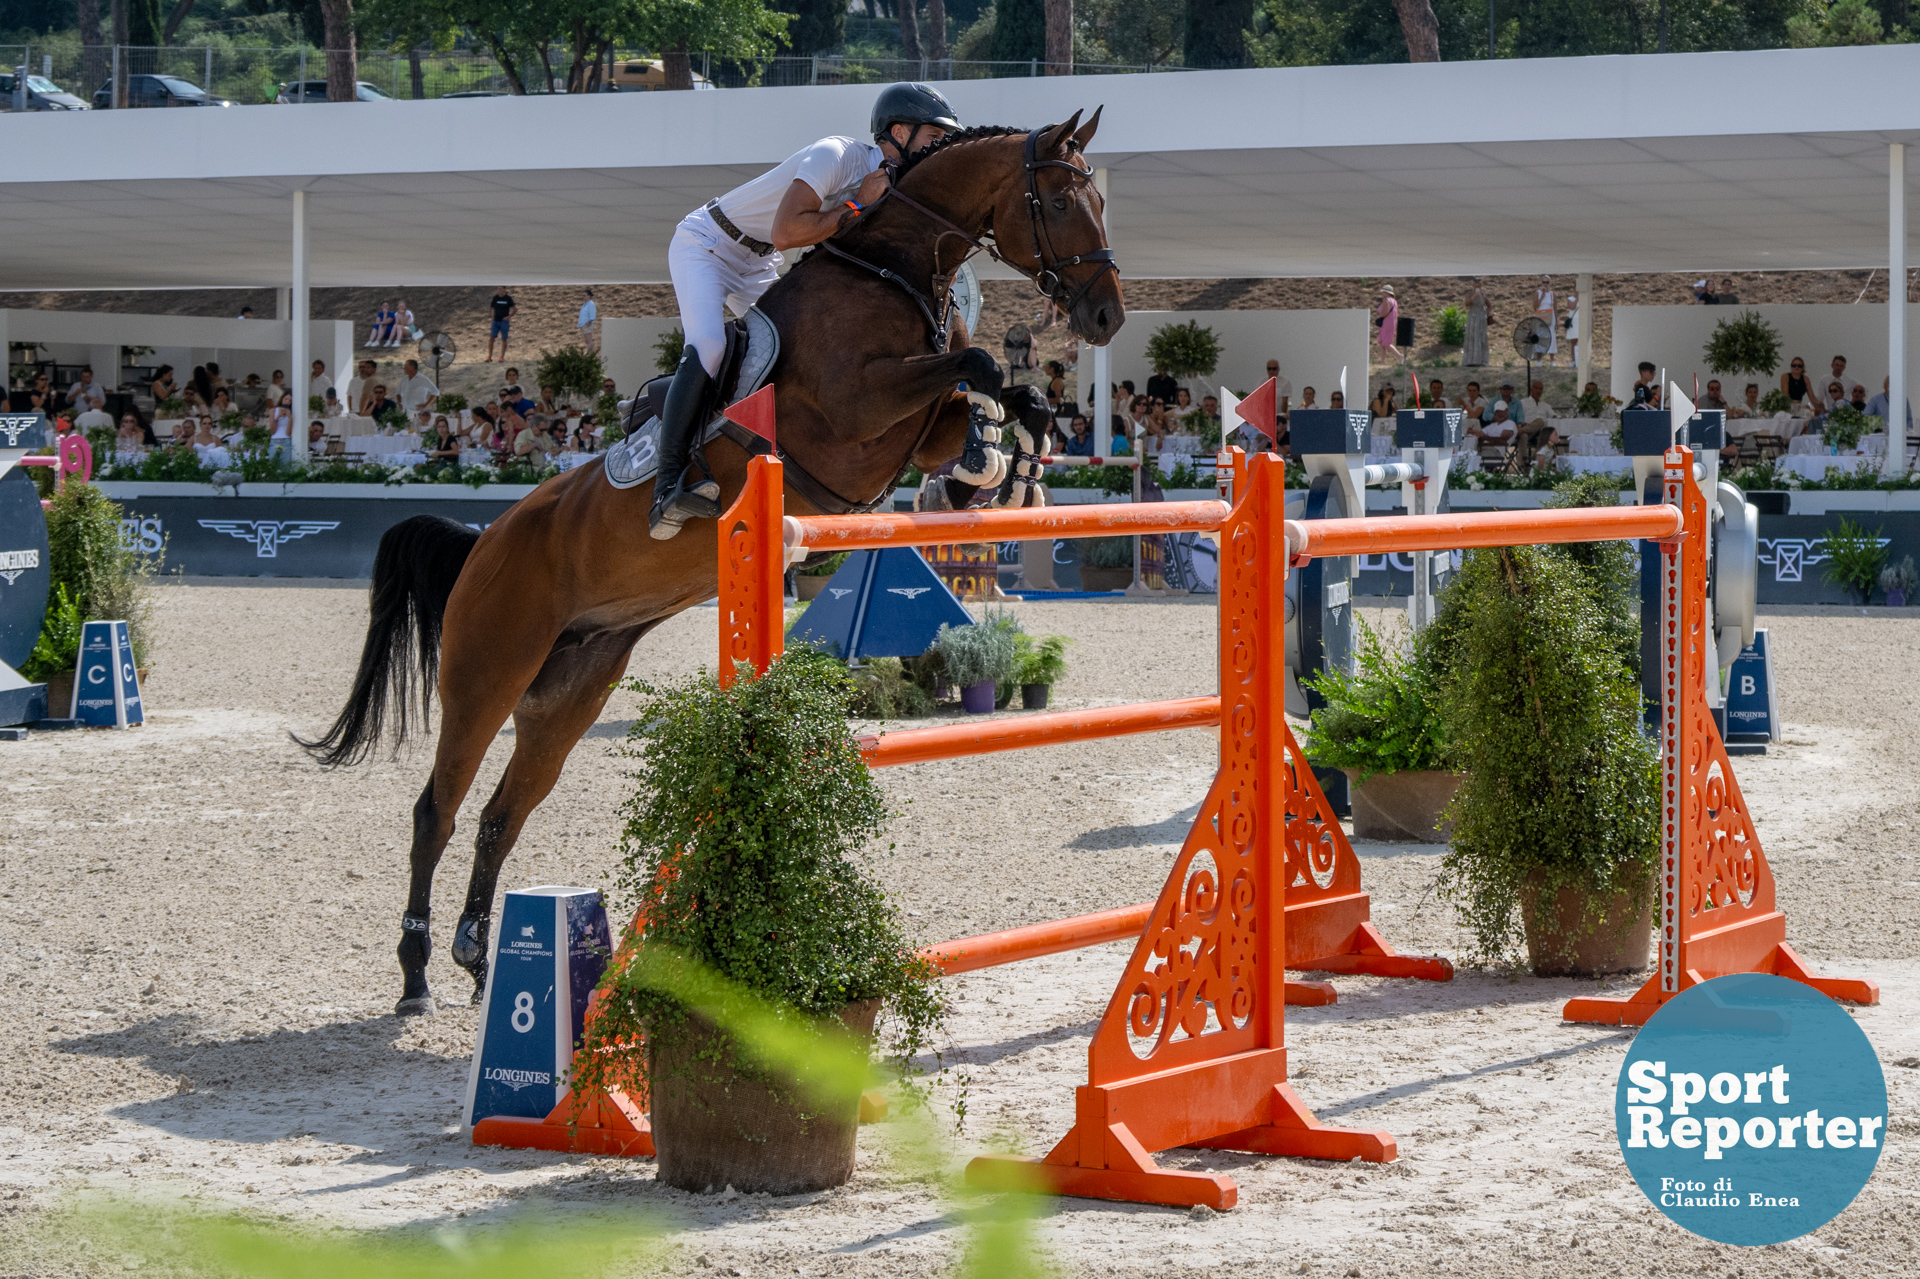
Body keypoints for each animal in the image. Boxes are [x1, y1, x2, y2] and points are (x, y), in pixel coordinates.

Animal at [299, 109, 1121, 1013]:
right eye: (1058, 200)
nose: (1106, 317)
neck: (897, 272)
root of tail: (485, 542)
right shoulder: (854, 411)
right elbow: (975, 366)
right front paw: (994, 451)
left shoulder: (902, 427)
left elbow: (994, 394)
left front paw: (1003, 461)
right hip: (487, 674)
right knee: (435, 812)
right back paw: (416, 974)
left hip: (567, 695)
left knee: (501, 814)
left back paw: (479, 954)